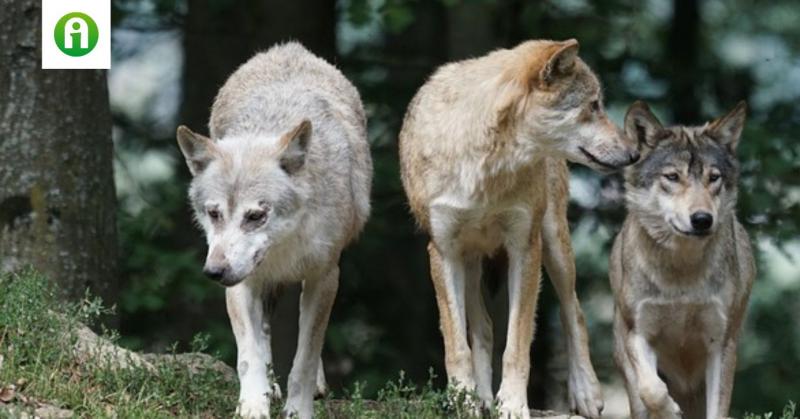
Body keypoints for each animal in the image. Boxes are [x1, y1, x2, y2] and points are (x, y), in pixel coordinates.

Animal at [175, 41, 372, 419]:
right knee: (264, 332)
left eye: (255, 216)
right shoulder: (241, 282)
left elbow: (305, 358)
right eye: (214, 213)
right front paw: (253, 404)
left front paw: (299, 409)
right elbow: (248, 355)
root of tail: (289, 48)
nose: (213, 272)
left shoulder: (325, 276)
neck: (284, 246)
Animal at [398, 39, 636, 419]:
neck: (486, 165)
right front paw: (462, 400)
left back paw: (585, 392)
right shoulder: (443, 251)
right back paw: (479, 396)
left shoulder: (525, 247)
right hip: (470, 260)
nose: (634, 153)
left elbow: (517, 345)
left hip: (554, 244)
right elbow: (457, 344)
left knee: (574, 312)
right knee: (483, 327)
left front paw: (511, 404)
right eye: (594, 105)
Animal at [612, 101, 756, 419]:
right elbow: (652, 390)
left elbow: (718, 410)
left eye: (713, 178)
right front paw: (668, 411)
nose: (702, 219)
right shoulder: (638, 332)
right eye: (672, 177)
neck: (682, 272)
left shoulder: (721, 344)